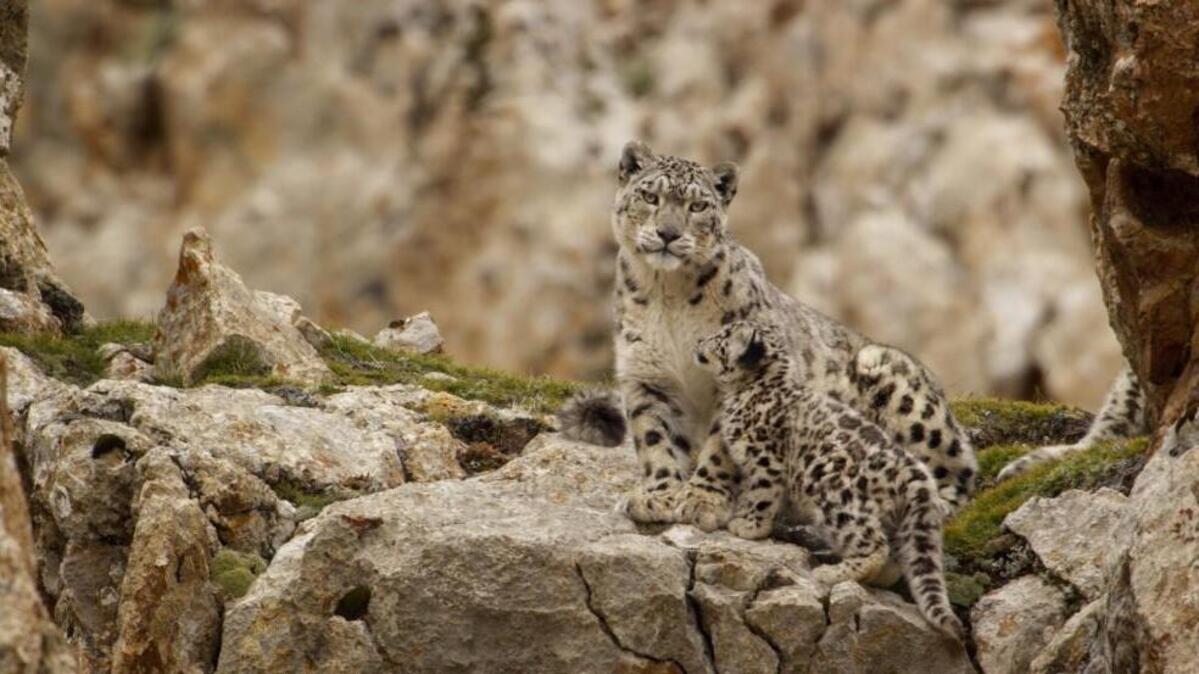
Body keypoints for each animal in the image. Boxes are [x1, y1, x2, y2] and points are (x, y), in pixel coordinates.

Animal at [558, 140, 978, 527]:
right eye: (650, 196)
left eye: (698, 206)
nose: (668, 233)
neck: (668, 294)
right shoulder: (648, 377)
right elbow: (656, 441)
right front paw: (660, 495)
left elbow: (720, 447)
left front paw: (702, 500)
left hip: (896, 383)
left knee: (959, 464)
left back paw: (931, 504)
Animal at [693, 318, 963, 640]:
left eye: (721, 337)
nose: (698, 342)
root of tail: (912, 468)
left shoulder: (766, 460)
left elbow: (760, 495)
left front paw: (747, 526)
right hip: (899, 519)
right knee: (898, 553)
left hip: (836, 497)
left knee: (874, 544)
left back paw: (833, 572)